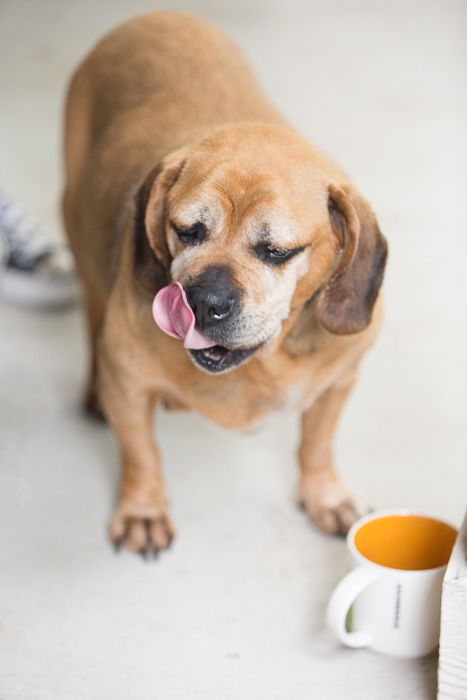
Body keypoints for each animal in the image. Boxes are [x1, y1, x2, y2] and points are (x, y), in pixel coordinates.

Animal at [64, 9, 390, 556]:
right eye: (186, 230)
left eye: (277, 251)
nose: (202, 301)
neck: (262, 364)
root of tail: (152, 14)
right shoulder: (129, 385)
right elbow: (141, 453)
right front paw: (143, 510)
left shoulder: (339, 382)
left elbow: (317, 444)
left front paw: (324, 494)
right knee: (91, 309)